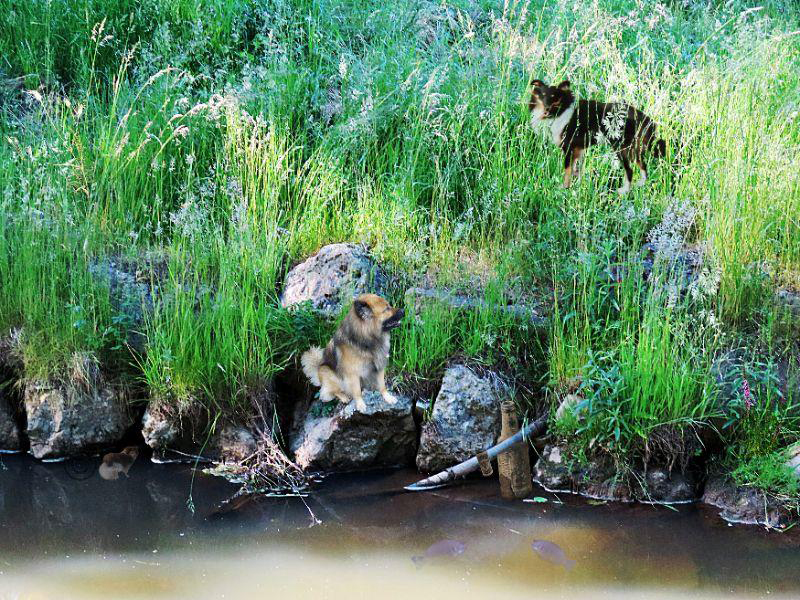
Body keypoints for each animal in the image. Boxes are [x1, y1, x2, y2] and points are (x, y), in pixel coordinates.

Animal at [532, 79, 664, 195]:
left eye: (555, 96)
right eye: (542, 95)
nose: (546, 108)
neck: (561, 111)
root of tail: (644, 117)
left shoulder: (569, 147)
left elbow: (567, 170)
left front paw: (564, 188)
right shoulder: (578, 149)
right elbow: (576, 168)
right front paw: (577, 184)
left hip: (621, 148)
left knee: (630, 170)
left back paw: (623, 191)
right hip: (633, 149)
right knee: (643, 167)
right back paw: (640, 184)